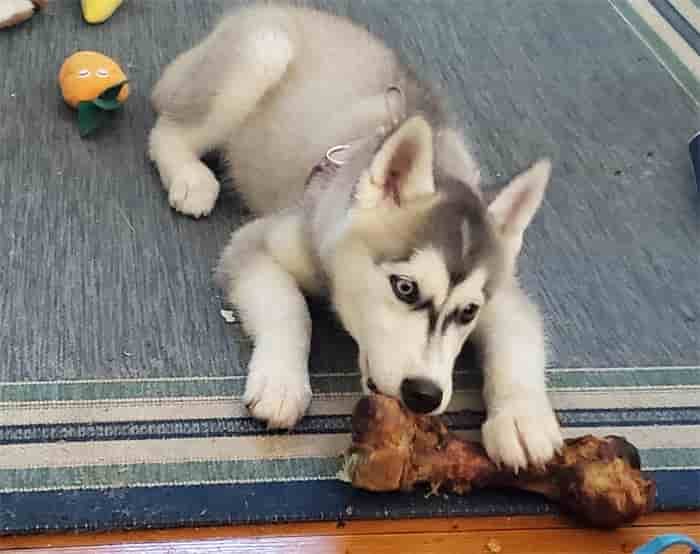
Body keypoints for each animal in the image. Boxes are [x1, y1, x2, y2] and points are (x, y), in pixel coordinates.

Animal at [149, 2, 564, 468]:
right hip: (261, 52)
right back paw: (190, 178)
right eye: (404, 288)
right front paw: (281, 381)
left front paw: (522, 418)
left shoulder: (504, 295)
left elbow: (518, 342)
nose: (424, 395)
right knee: (167, 130)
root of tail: (266, 8)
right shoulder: (258, 242)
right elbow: (290, 309)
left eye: (469, 312)